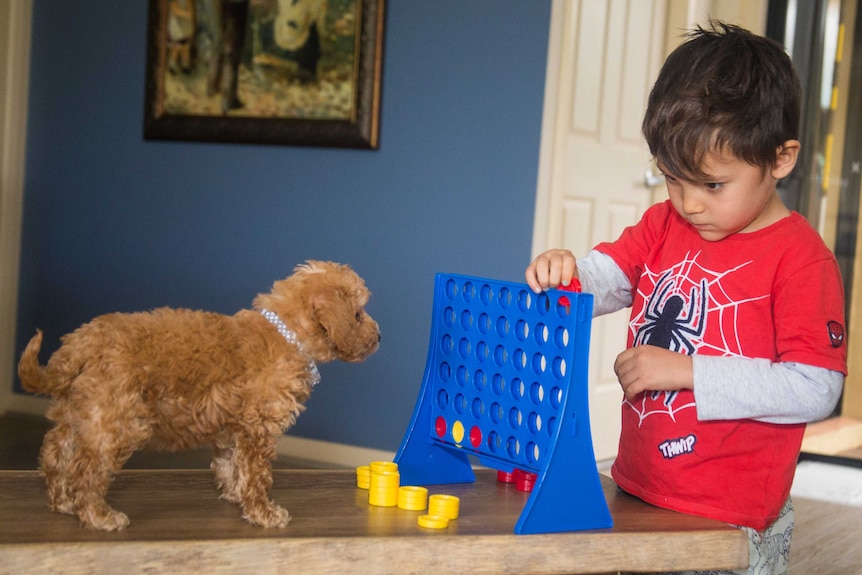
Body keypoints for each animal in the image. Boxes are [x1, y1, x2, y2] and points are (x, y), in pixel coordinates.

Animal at [16, 260, 380, 532]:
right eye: (358, 314)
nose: (379, 337)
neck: (287, 331)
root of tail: (81, 343)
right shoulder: (258, 427)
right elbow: (257, 474)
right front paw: (264, 512)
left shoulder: (234, 426)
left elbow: (231, 464)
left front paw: (235, 495)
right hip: (116, 421)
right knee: (86, 471)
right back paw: (98, 516)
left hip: (78, 412)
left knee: (55, 453)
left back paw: (62, 502)